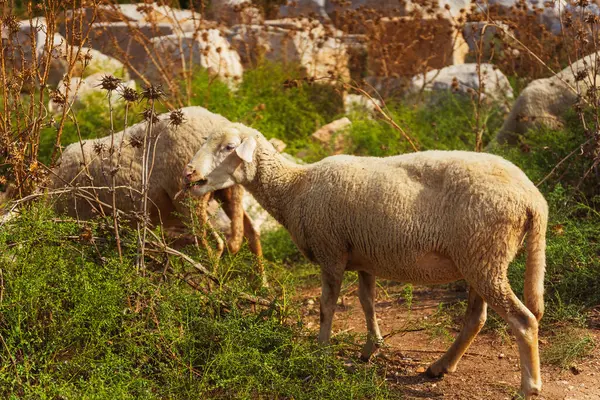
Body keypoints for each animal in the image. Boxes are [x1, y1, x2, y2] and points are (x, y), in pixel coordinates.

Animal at [44, 106, 264, 282]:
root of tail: (219, 122)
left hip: (189, 197)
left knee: (214, 244)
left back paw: (210, 287)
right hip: (231, 189)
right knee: (249, 234)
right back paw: (260, 286)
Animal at [185, 123, 552, 398]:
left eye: (229, 147)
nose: (190, 175)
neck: (295, 188)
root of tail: (533, 199)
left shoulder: (330, 250)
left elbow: (327, 306)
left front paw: (319, 353)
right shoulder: (363, 257)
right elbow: (367, 301)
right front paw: (370, 348)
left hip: (484, 255)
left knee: (522, 320)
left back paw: (528, 387)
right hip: (480, 258)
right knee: (476, 318)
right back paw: (440, 366)